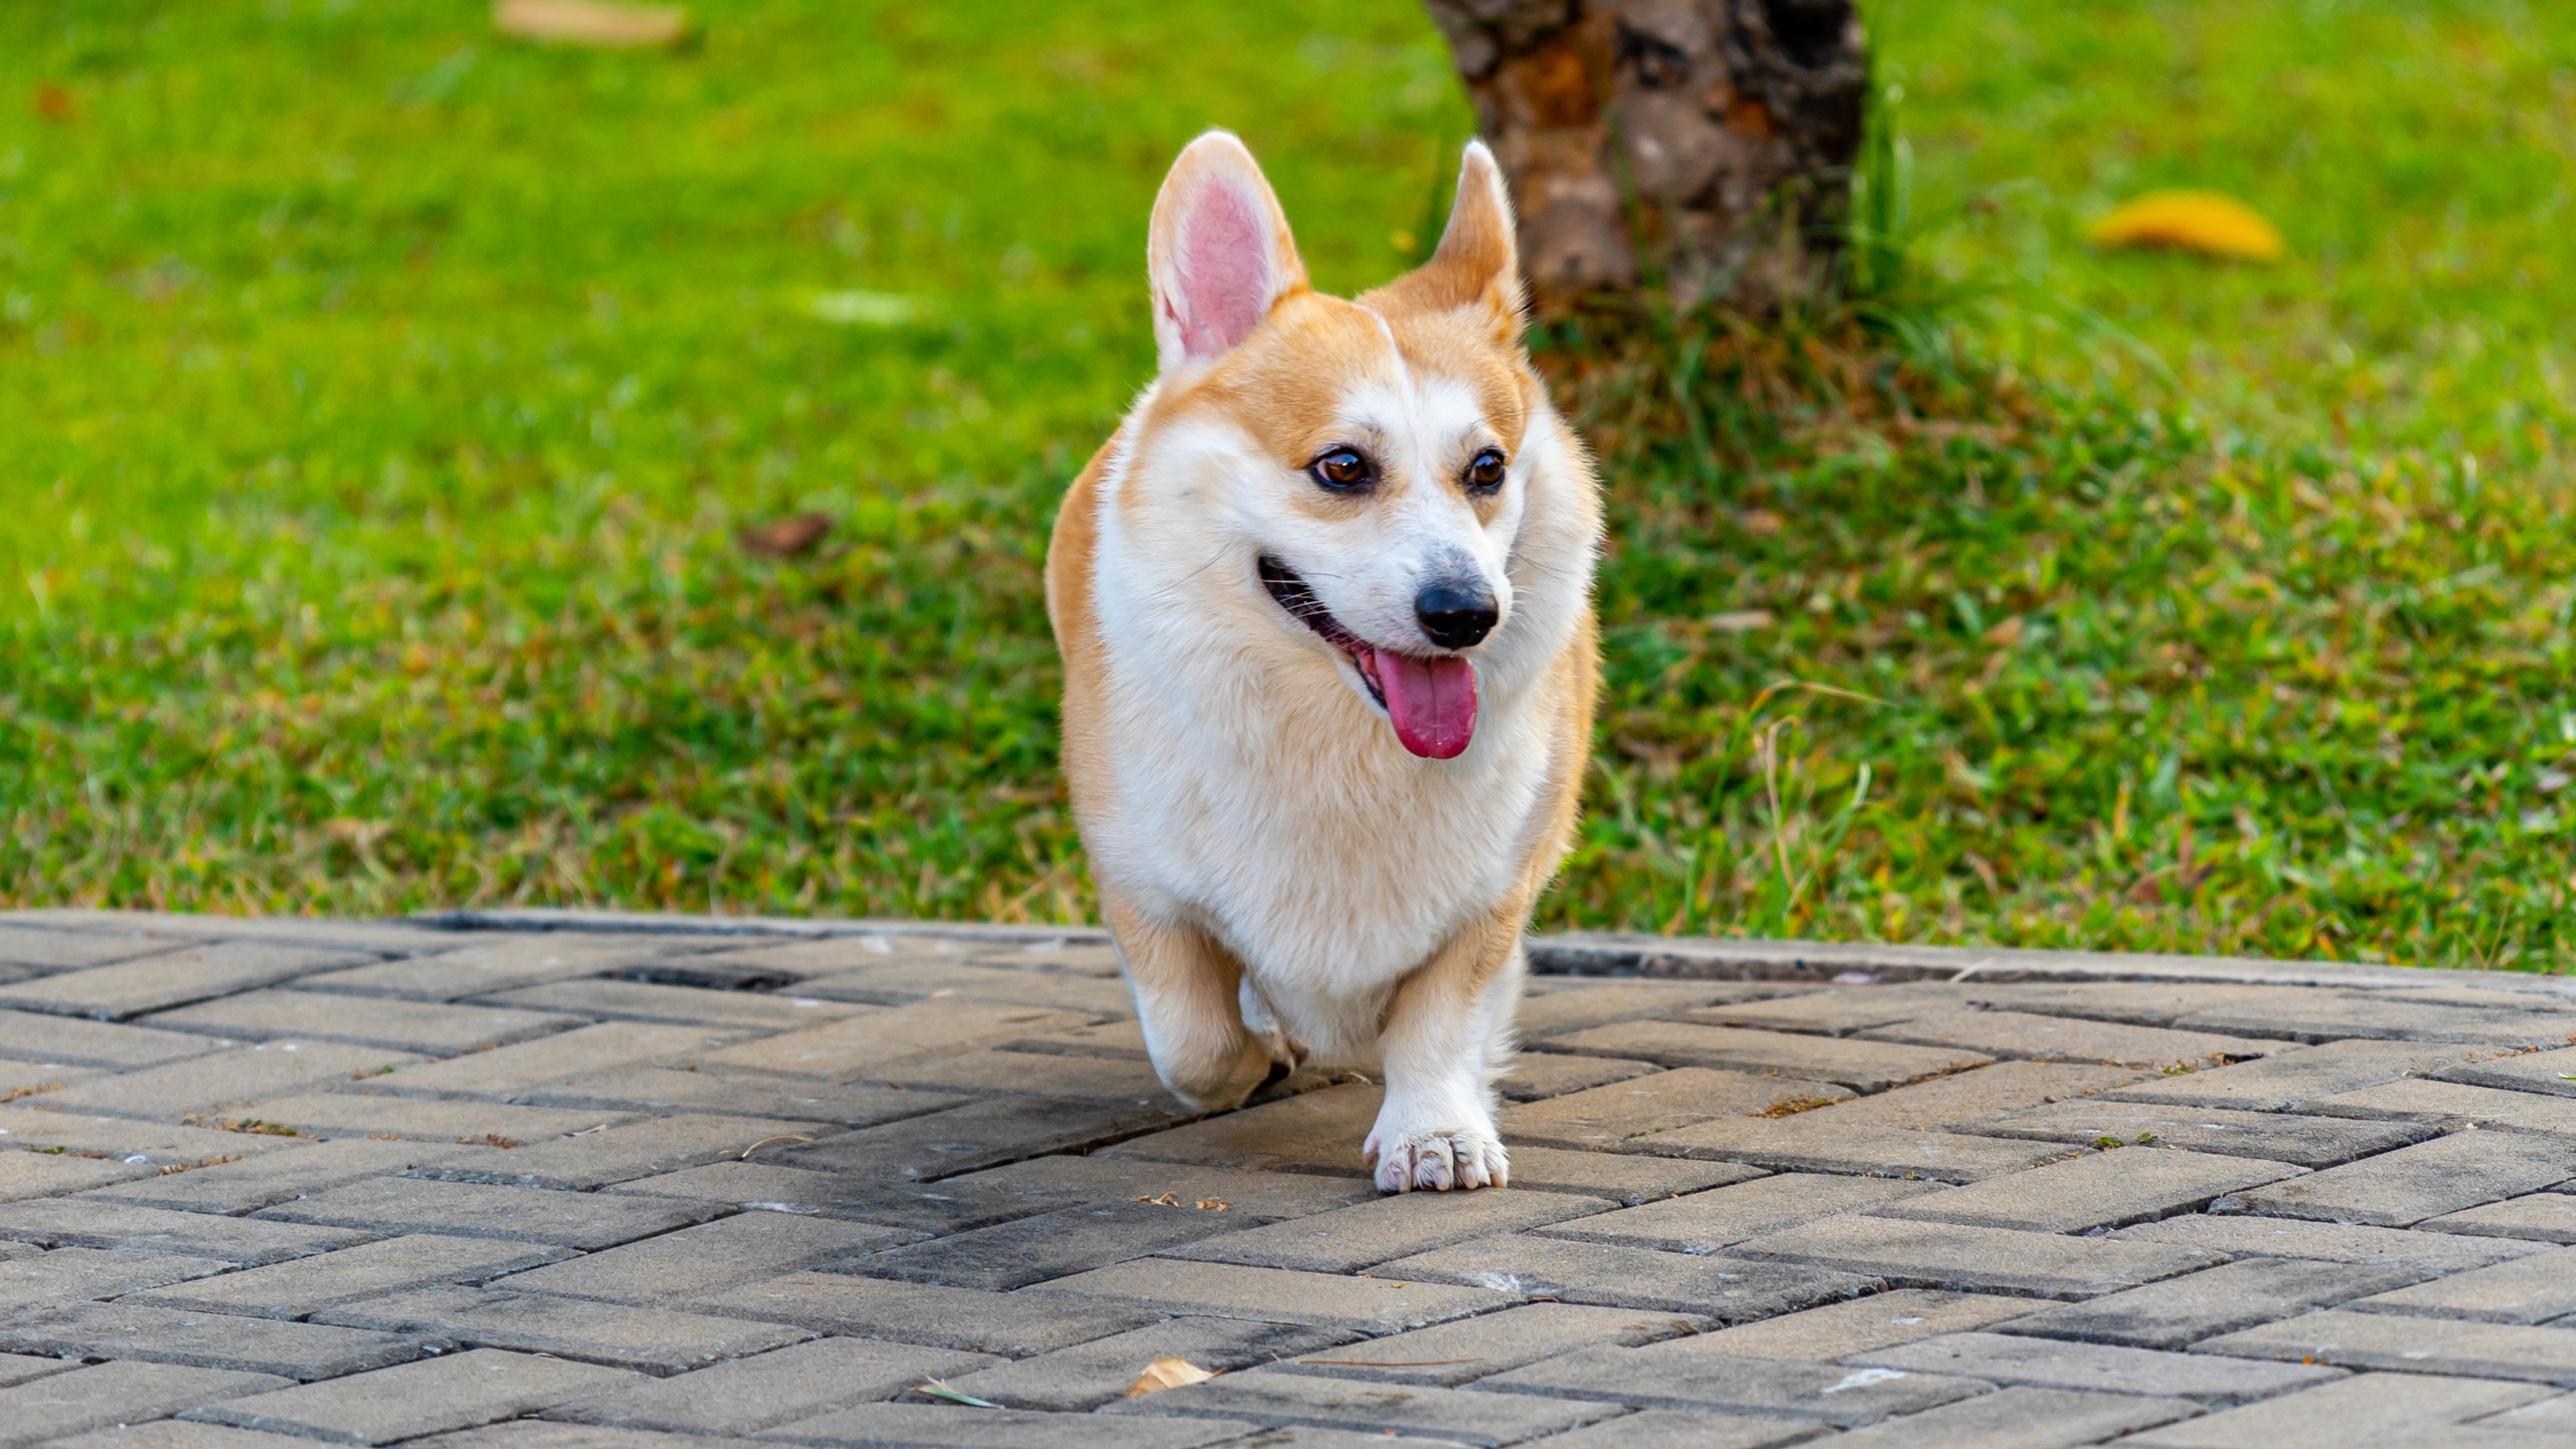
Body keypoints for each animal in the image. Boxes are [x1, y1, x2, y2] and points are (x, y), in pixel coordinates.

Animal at [1041, 133, 1597, 1186]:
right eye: (1343, 467)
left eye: (1488, 469)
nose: (1467, 615)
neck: (1333, 733)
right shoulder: (1143, 887)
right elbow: (1194, 1041)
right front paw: (1259, 1060)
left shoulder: (1497, 888)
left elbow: (1442, 1015)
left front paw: (1436, 1131)